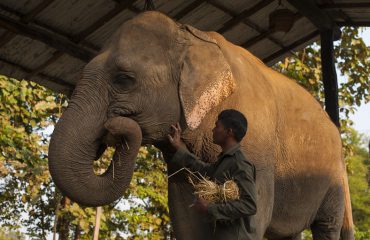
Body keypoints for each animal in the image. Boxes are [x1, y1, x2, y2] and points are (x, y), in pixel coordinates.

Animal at [47, 10, 354, 240]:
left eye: (124, 79)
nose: (113, 128)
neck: (192, 35)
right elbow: (183, 211)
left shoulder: (257, 146)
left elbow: (254, 210)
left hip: (334, 179)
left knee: (326, 227)